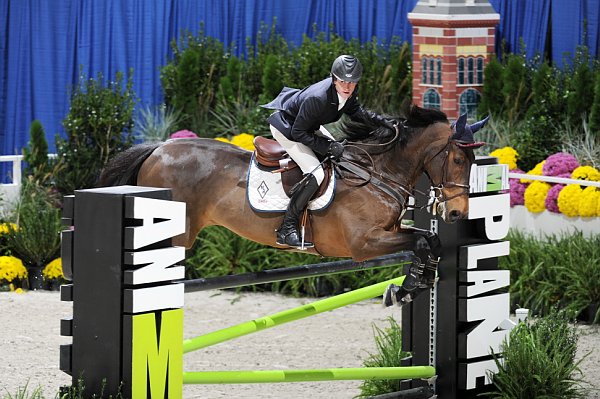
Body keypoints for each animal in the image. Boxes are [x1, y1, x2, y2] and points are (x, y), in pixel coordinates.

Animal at [98, 105, 490, 306]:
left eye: (473, 162)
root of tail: (159, 148)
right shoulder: (364, 244)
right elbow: (423, 240)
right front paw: (406, 288)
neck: (378, 172)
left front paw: (414, 285)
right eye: (458, 159)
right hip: (176, 234)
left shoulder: (391, 231)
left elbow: (429, 241)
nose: (458, 213)